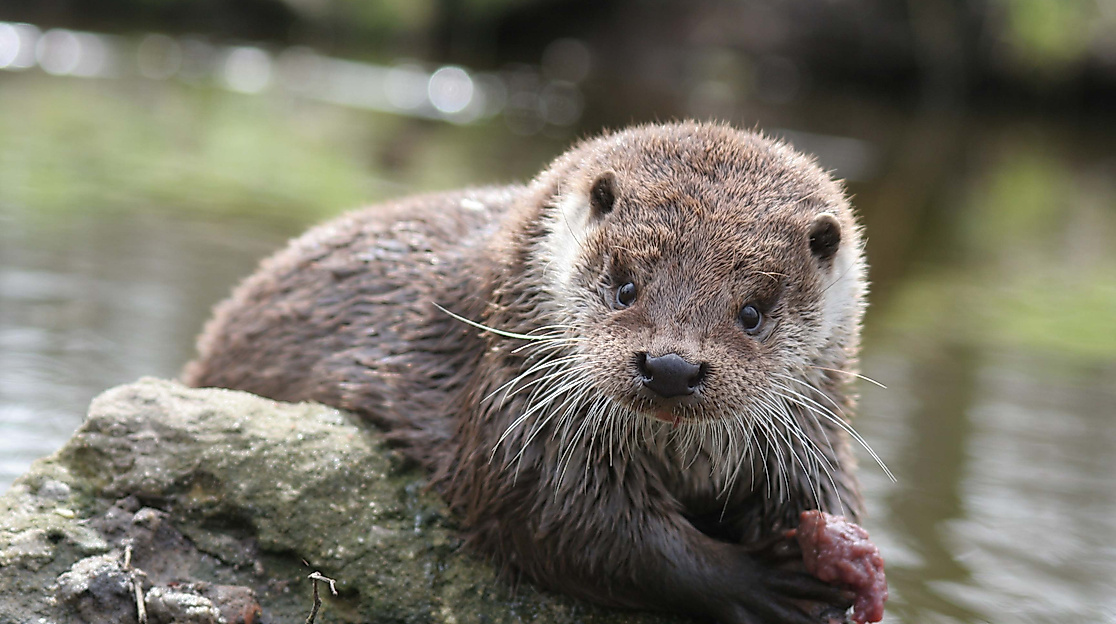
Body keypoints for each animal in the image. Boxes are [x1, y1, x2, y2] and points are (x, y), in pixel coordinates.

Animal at [183, 122, 886, 624]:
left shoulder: (814, 435)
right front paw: (761, 583)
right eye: (624, 286)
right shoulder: (515, 410)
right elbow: (570, 522)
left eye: (752, 313)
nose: (671, 366)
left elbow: (831, 500)